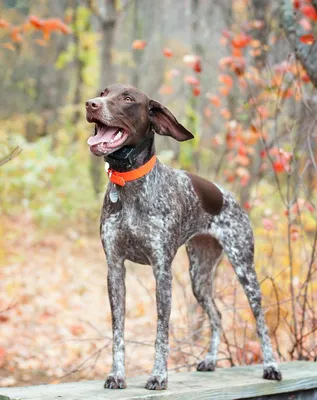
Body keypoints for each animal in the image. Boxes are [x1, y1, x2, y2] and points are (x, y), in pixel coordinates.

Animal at [84, 83, 282, 388]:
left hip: (245, 270)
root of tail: (227, 196)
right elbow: (118, 331)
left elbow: (161, 332)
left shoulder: (161, 271)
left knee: (260, 321)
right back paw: (210, 360)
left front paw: (158, 375)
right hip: (198, 277)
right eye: (104, 92)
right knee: (217, 316)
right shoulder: (115, 269)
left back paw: (271, 366)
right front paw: (116, 375)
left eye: (127, 98)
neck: (129, 184)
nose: (91, 104)